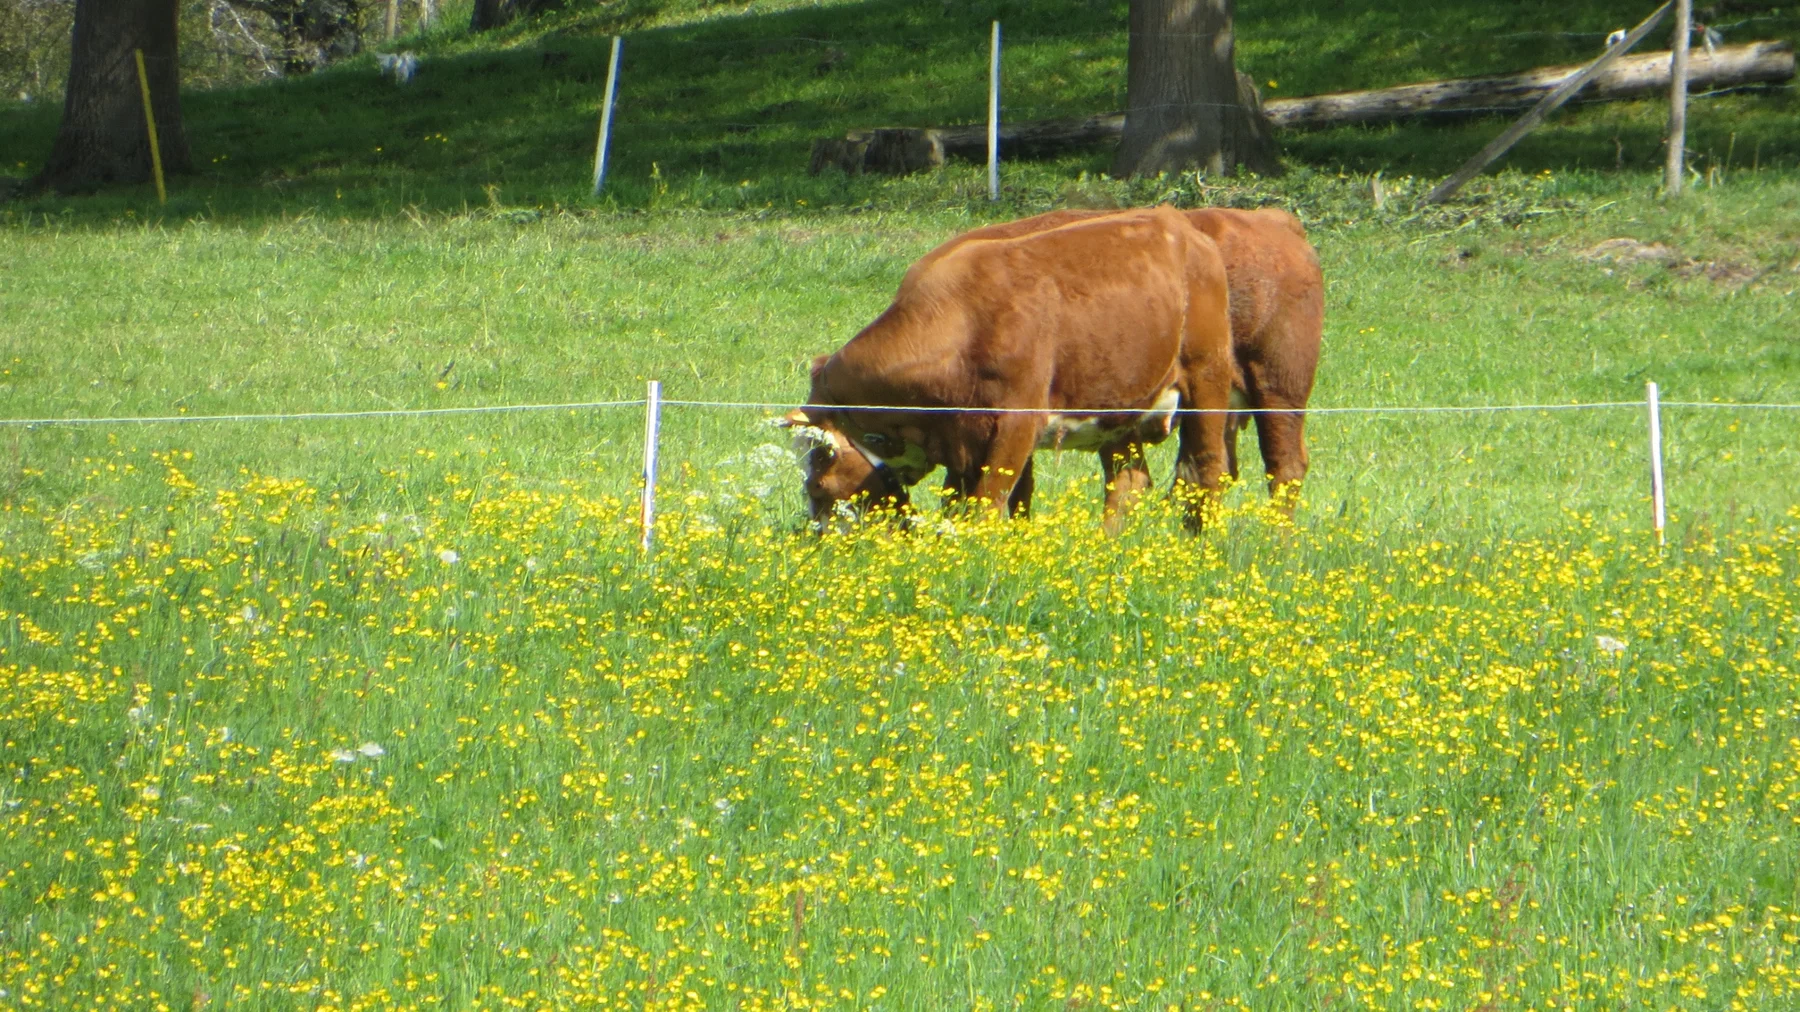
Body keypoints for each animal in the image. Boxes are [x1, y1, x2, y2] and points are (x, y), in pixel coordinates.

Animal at [781, 204, 1323, 523]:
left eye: (819, 472)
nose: (816, 534)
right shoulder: (966, 439)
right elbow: (990, 501)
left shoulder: (1015, 423)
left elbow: (989, 503)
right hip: (1127, 408)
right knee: (1133, 482)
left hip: (1256, 385)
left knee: (1245, 469)